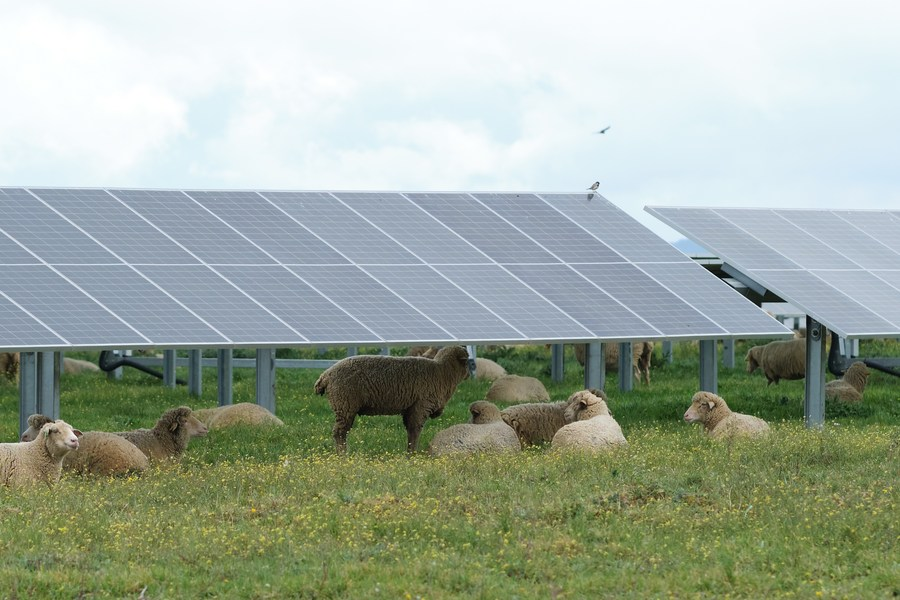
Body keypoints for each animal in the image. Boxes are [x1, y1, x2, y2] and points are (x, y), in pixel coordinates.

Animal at [314, 344, 472, 452]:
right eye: (466, 362)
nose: (469, 375)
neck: (443, 372)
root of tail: (325, 375)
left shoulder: (409, 409)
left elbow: (410, 432)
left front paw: (409, 452)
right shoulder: (421, 407)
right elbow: (415, 431)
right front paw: (412, 455)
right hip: (345, 405)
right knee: (339, 433)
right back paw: (342, 455)